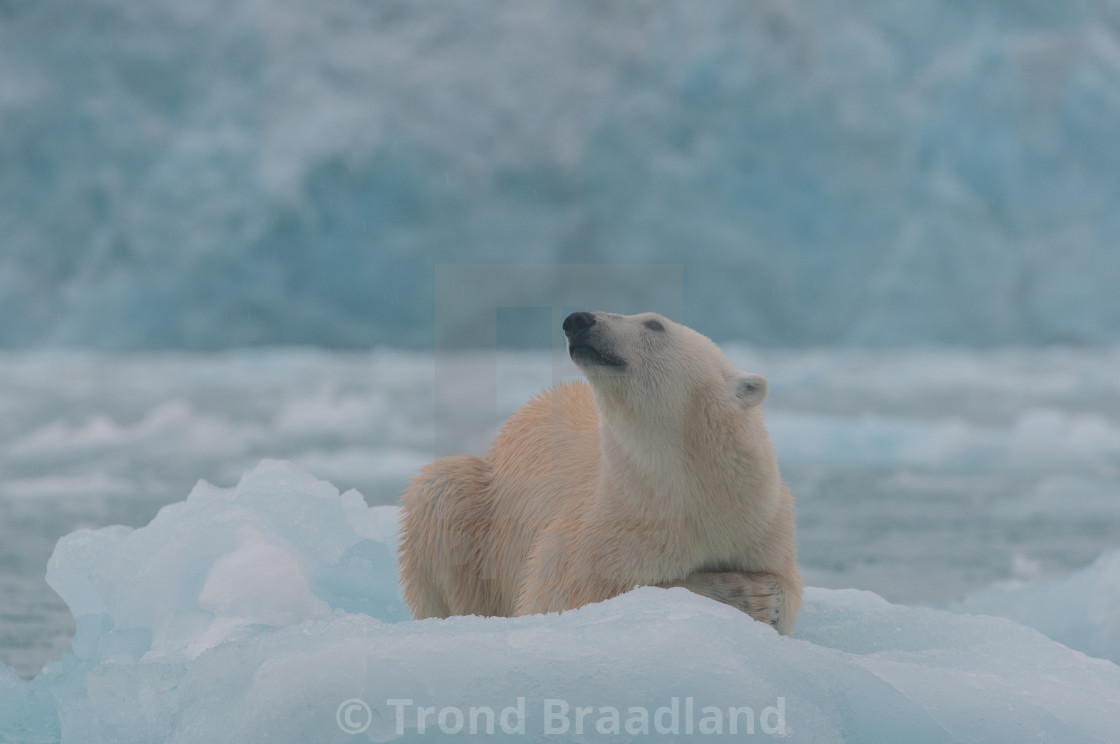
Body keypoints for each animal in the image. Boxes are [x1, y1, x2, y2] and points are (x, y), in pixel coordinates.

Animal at [398, 311, 801, 631]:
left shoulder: (760, 523)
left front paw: (766, 597)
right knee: (442, 492)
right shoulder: (601, 530)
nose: (578, 320)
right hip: (484, 507)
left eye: (654, 323)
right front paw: (749, 594)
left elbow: (789, 591)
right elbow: (566, 596)